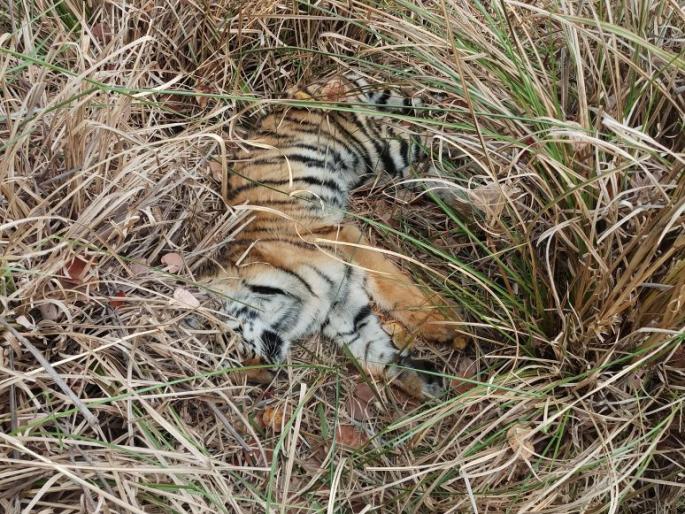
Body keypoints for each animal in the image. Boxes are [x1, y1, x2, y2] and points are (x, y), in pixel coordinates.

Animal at [201, 75, 467, 398]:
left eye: (231, 351)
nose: (260, 382)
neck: (292, 308)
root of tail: (315, 82)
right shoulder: (342, 312)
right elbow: (374, 352)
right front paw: (423, 381)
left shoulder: (343, 237)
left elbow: (396, 287)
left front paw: (445, 322)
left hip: (376, 149)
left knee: (429, 141)